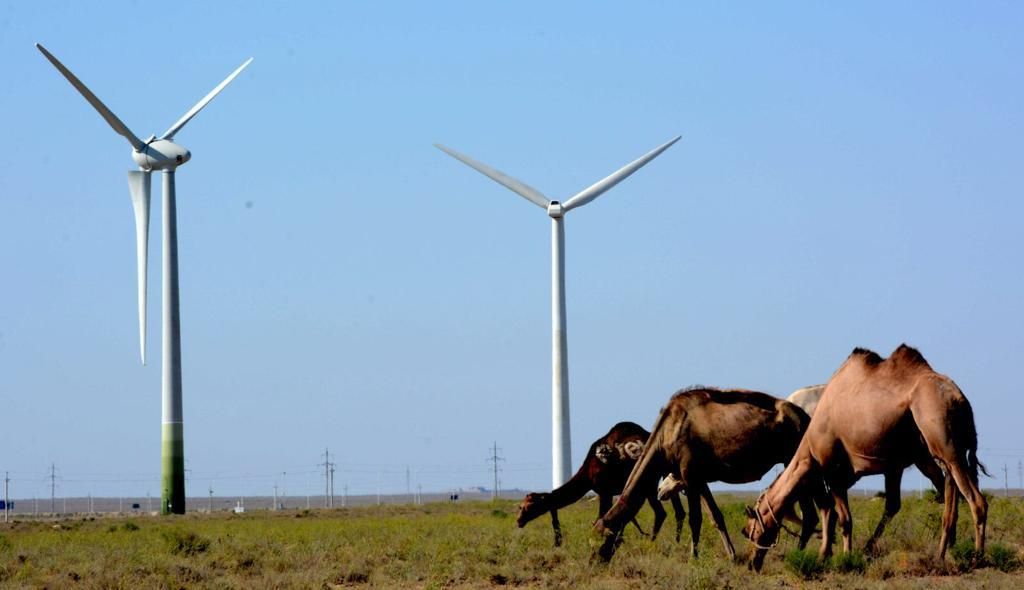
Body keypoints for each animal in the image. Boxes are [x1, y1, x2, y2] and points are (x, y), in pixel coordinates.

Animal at [516, 422, 684, 544]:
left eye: (527, 507)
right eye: (521, 506)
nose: (518, 520)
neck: (588, 473)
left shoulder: (605, 491)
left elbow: (601, 518)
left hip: (649, 482)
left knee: (661, 512)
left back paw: (652, 543)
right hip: (665, 475)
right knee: (677, 511)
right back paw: (675, 542)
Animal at [593, 387, 815, 561]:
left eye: (602, 538)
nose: (593, 561)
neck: (665, 436)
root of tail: (806, 418)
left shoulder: (689, 475)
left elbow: (695, 519)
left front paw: (694, 557)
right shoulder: (698, 479)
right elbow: (716, 516)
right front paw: (732, 555)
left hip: (793, 458)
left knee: (809, 514)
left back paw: (799, 555)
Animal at [745, 346, 991, 573]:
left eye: (751, 529)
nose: (752, 563)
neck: (808, 449)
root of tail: (959, 399)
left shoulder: (833, 469)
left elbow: (843, 517)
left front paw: (844, 557)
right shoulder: (888, 467)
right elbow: (880, 506)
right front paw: (833, 554)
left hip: (944, 441)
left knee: (976, 500)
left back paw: (977, 558)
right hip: (938, 452)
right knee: (949, 498)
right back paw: (943, 554)